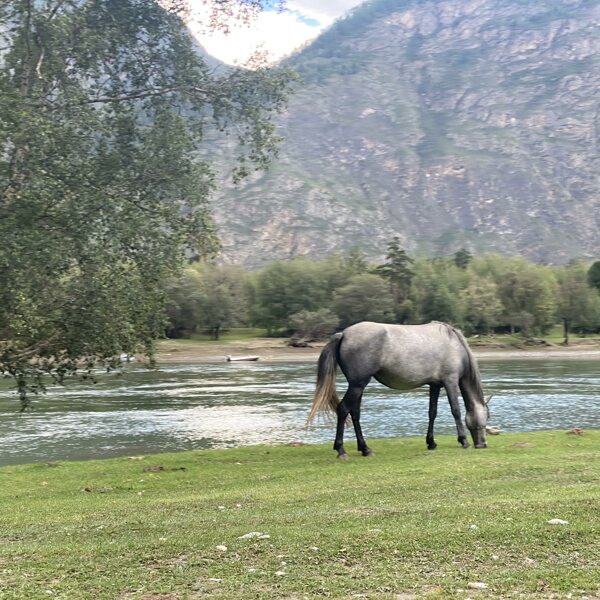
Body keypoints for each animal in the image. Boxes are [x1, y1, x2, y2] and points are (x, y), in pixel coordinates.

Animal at [308, 322, 490, 458]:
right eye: (487, 417)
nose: (482, 444)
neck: (455, 345)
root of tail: (343, 334)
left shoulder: (435, 385)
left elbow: (432, 412)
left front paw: (431, 442)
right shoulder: (450, 381)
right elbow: (456, 410)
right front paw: (463, 440)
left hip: (357, 386)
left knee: (355, 413)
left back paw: (365, 449)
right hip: (357, 385)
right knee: (343, 409)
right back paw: (341, 450)